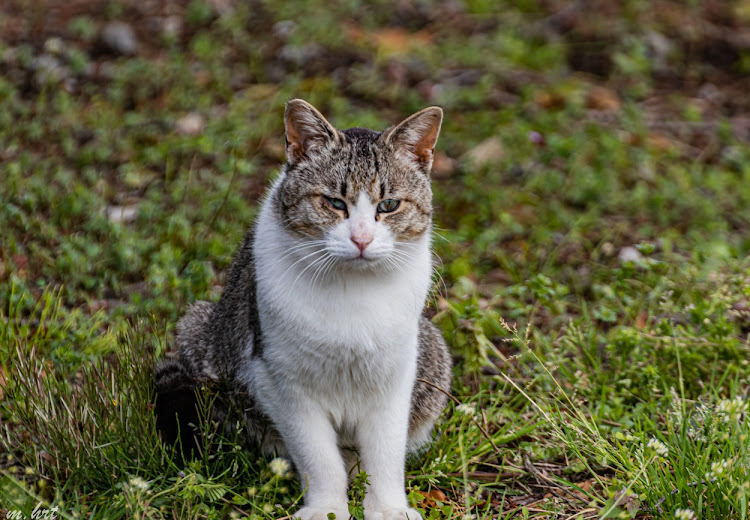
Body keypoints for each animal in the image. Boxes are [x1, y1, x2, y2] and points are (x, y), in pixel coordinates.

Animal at [154, 98, 452, 520]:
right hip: (199, 330)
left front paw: (388, 508)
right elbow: (318, 457)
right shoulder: (281, 381)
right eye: (334, 203)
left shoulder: (396, 377)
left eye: (389, 205)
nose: (361, 239)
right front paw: (326, 508)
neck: (352, 291)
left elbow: (385, 454)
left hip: (433, 351)